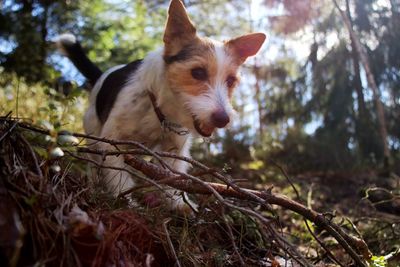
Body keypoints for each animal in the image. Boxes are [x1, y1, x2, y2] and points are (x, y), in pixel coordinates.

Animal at [57, 0, 266, 213]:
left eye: (231, 80)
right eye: (197, 72)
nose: (223, 119)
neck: (160, 108)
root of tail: (101, 76)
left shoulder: (175, 149)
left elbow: (173, 178)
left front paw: (179, 204)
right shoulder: (111, 140)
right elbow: (118, 175)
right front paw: (125, 201)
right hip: (94, 134)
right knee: (93, 162)